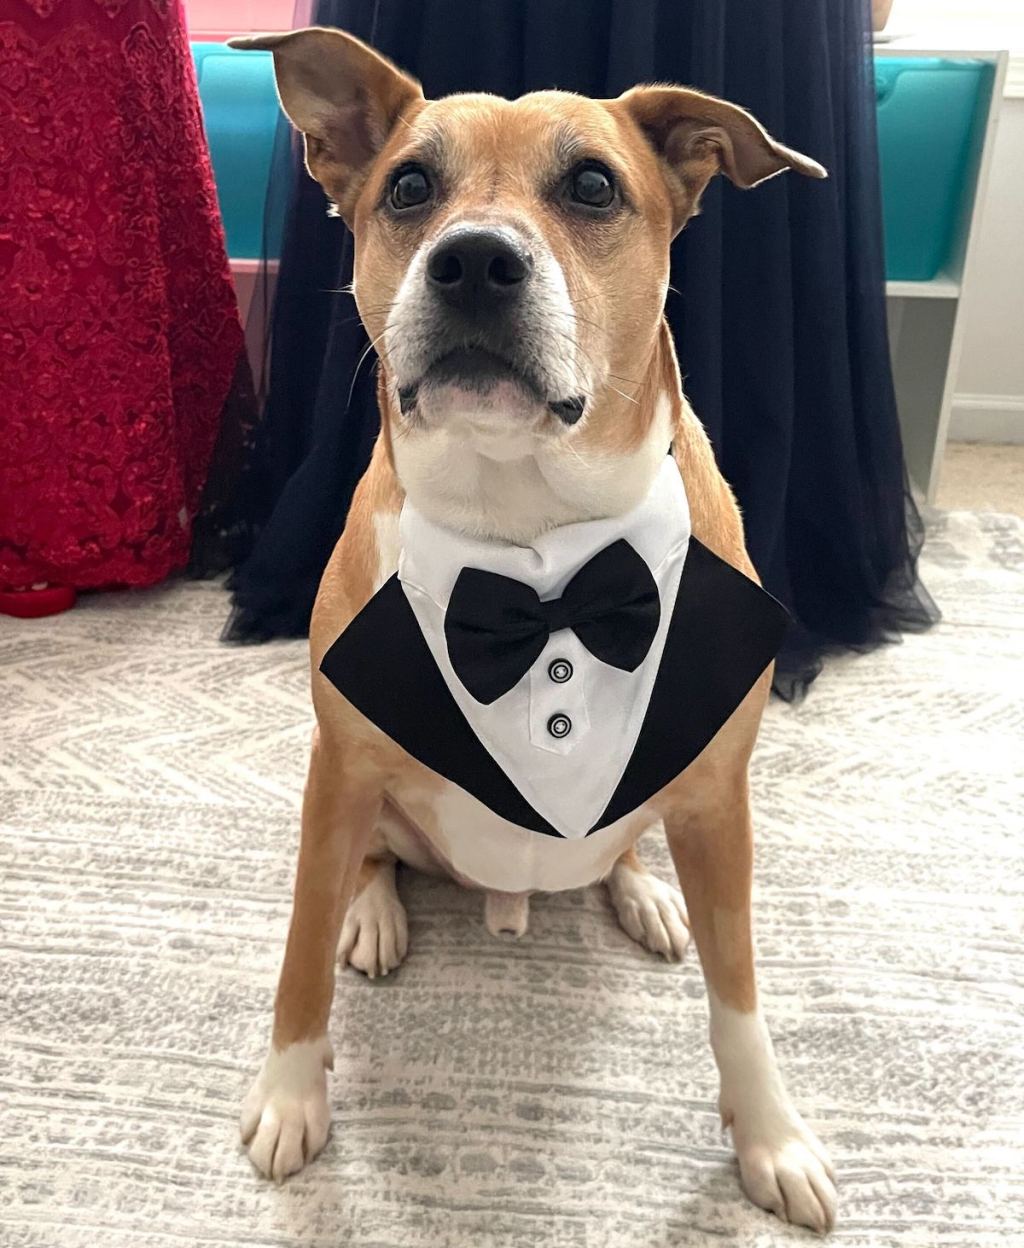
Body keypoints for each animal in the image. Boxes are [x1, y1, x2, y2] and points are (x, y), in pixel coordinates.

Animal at [228, 24, 833, 1233]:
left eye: (593, 185)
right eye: (409, 187)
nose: (472, 262)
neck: (531, 544)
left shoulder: (718, 796)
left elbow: (740, 993)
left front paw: (772, 1137)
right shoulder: (338, 767)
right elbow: (299, 949)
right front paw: (290, 1092)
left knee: (628, 846)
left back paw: (643, 893)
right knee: (372, 864)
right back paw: (378, 915)